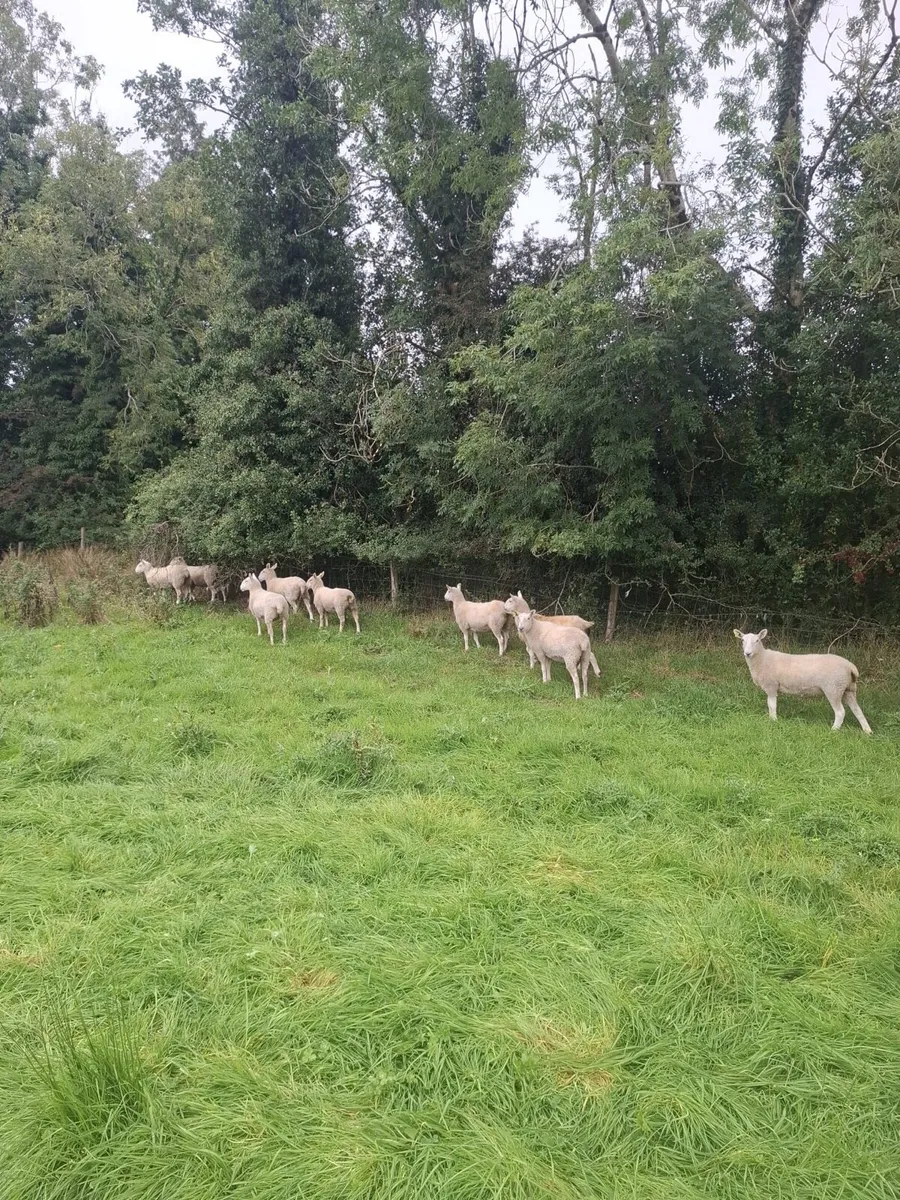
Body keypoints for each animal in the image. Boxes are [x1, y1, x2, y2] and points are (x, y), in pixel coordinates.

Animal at [734, 629, 872, 733]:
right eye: (742, 640)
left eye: (757, 640)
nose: (747, 653)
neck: (762, 659)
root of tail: (850, 667)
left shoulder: (771, 686)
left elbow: (772, 705)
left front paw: (773, 721)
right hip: (848, 688)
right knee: (857, 710)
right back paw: (867, 731)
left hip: (833, 689)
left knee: (840, 712)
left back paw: (834, 730)